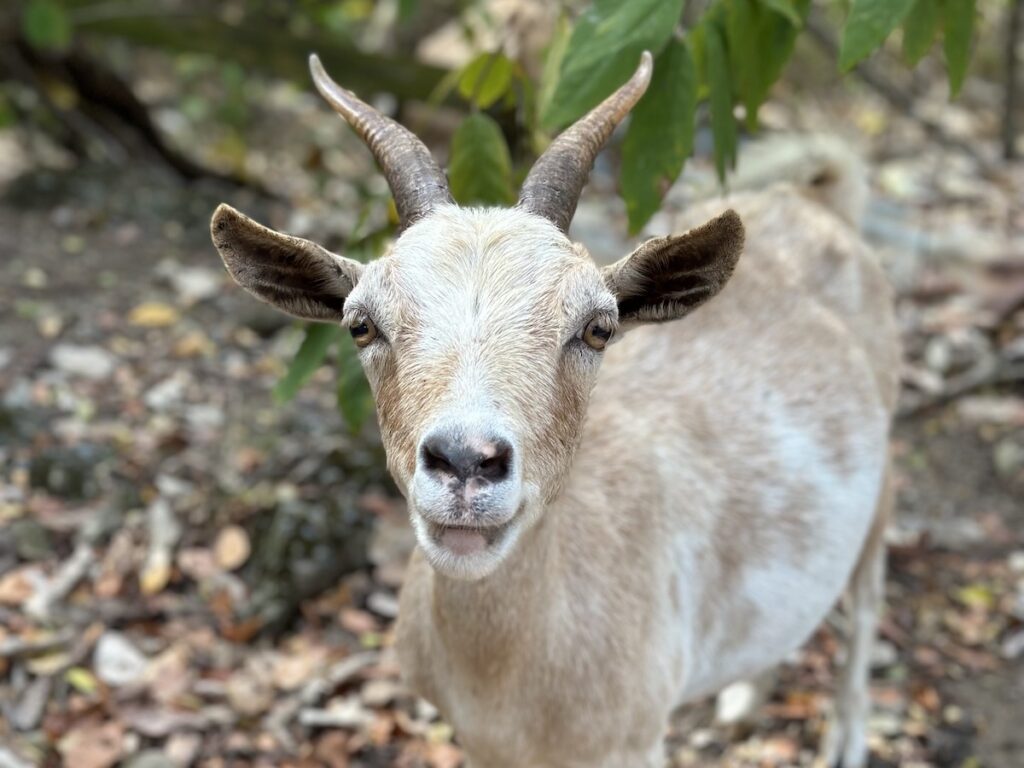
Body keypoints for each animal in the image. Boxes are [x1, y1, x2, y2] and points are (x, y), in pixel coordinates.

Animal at [211, 51, 901, 765]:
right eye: (361, 324)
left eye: (597, 327)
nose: (466, 462)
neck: (512, 677)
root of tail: (821, 205)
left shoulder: (636, 741)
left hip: (882, 476)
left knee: (867, 600)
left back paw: (846, 739)